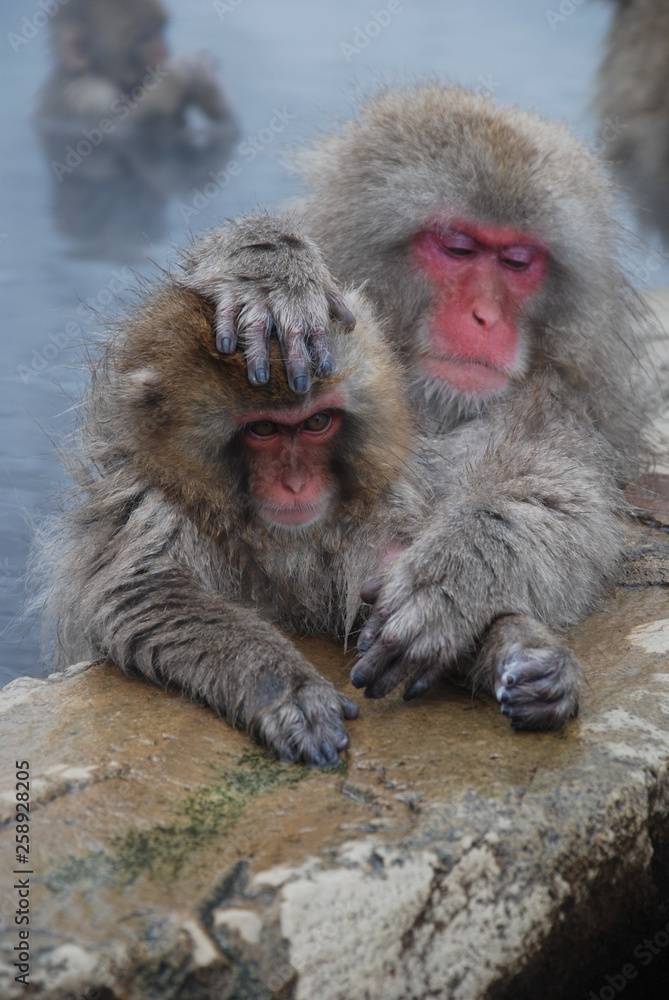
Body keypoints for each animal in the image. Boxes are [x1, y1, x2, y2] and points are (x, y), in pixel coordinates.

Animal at [40, 218, 425, 765]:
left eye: (317, 422)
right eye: (263, 429)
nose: (295, 483)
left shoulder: (374, 511)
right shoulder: (150, 505)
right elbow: (141, 593)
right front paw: (284, 688)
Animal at [181, 84, 659, 731]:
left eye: (517, 261)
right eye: (457, 247)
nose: (486, 318)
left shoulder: (561, 404)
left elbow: (560, 501)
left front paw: (452, 579)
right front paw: (268, 263)